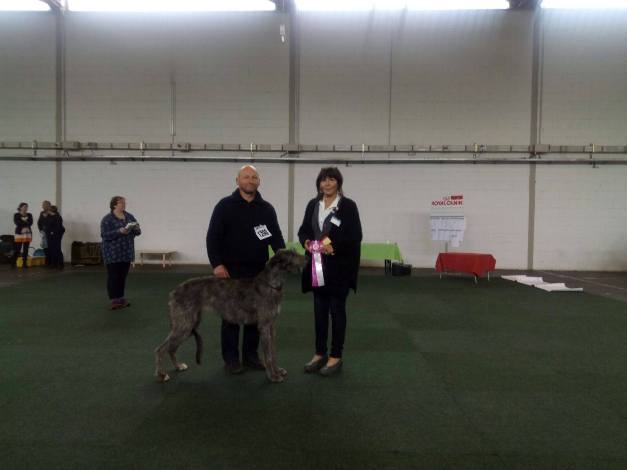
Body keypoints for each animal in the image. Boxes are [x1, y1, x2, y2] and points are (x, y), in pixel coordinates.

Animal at [155, 248, 306, 384]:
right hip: (184, 324)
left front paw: (277, 370)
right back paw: (161, 375)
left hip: (189, 324)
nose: (307, 257)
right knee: (160, 349)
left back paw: (178, 366)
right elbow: (268, 355)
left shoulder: (271, 326)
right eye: (292, 254)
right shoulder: (264, 325)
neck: (270, 284)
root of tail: (173, 292)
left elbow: (273, 352)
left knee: (171, 348)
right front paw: (273, 376)